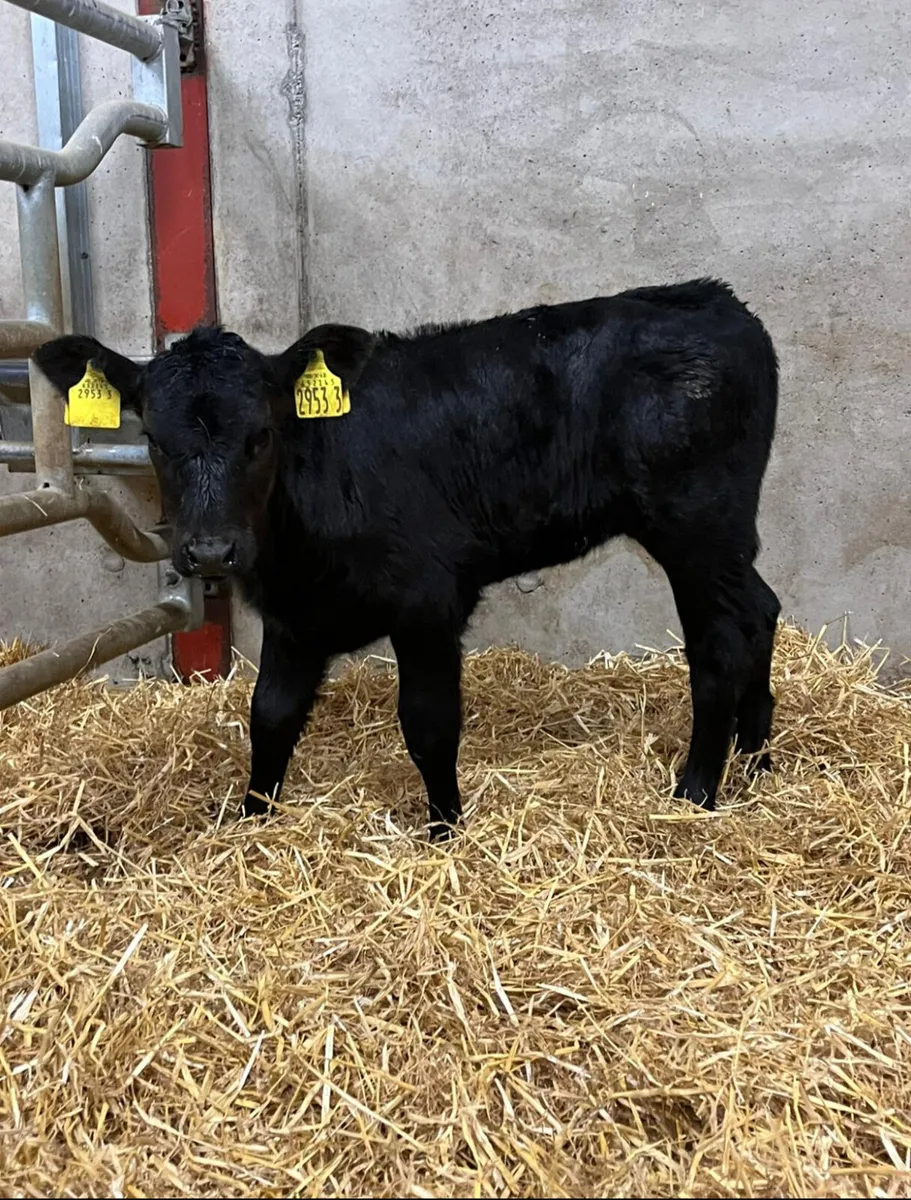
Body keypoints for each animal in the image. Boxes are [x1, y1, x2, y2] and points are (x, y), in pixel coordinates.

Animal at [34, 278, 781, 840]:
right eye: (154, 440)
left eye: (262, 435)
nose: (212, 549)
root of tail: (713, 298)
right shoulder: (293, 617)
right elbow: (269, 716)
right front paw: (252, 820)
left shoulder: (428, 603)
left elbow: (428, 724)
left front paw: (445, 831)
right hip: (722, 535)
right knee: (760, 611)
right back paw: (756, 759)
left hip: (695, 526)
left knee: (720, 642)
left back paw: (695, 790)